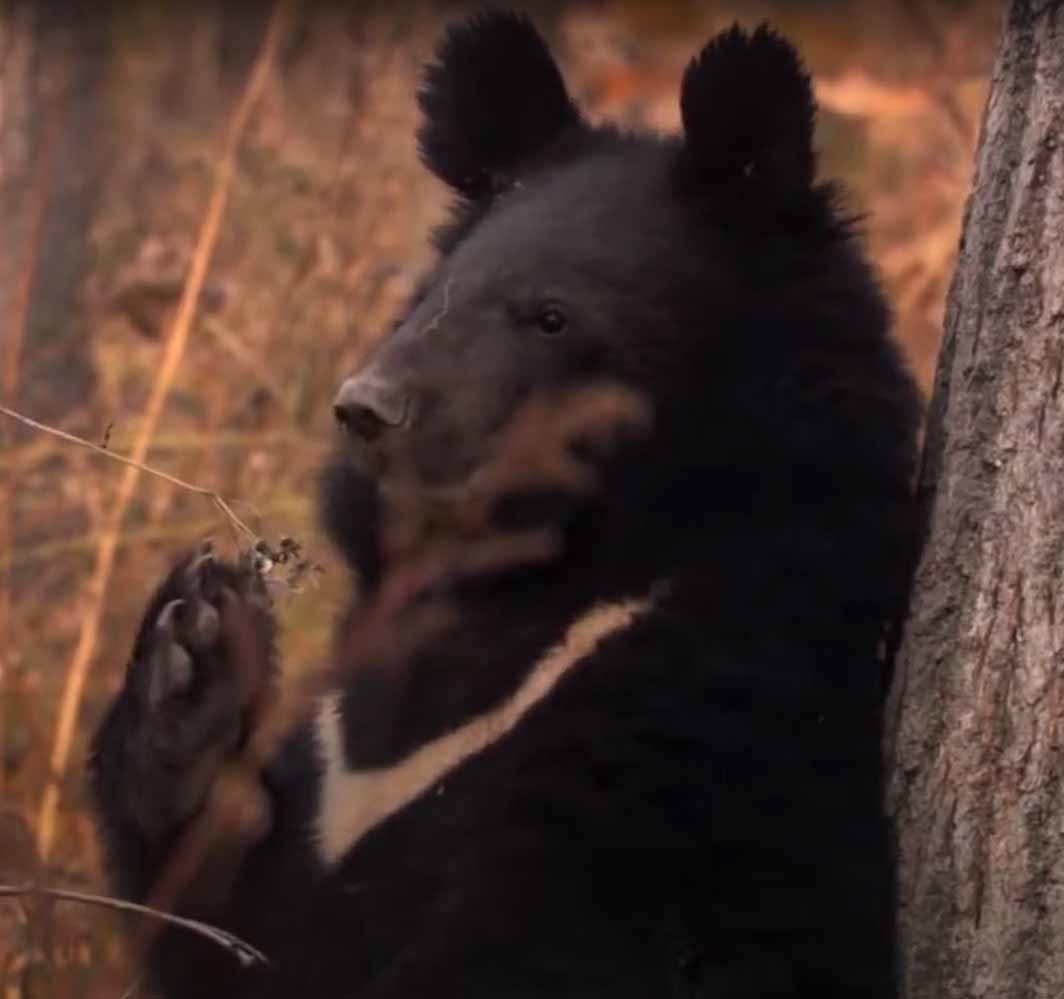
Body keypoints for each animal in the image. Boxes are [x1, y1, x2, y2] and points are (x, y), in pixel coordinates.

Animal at [91, 9, 923, 999]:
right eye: (439, 295)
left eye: (552, 316)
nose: (367, 407)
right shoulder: (345, 782)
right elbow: (234, 925)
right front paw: (195, 651)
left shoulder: (690, 740)